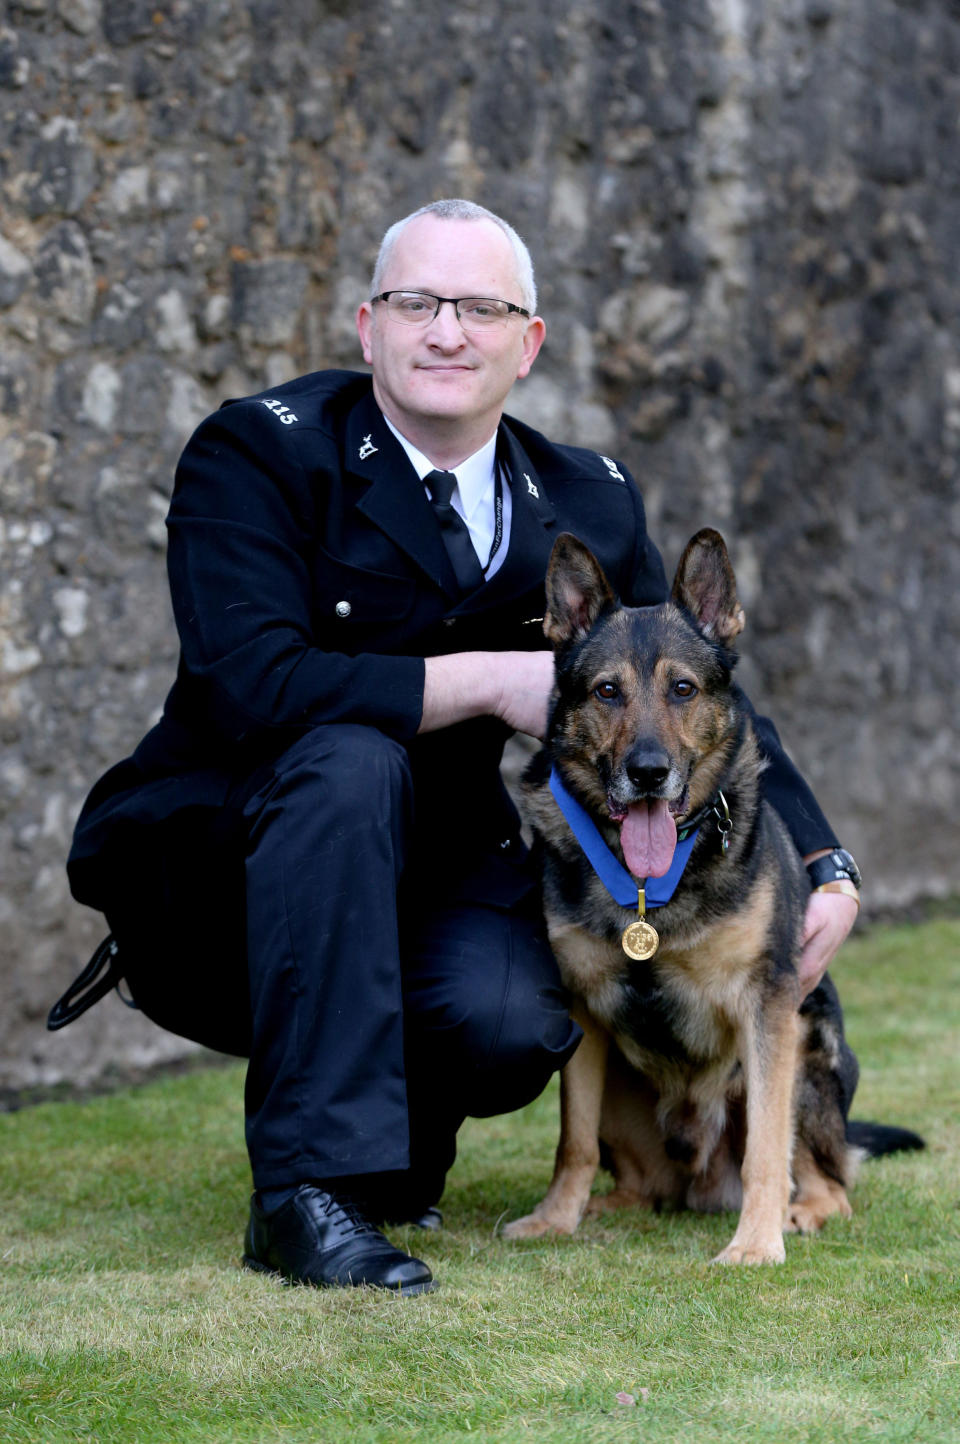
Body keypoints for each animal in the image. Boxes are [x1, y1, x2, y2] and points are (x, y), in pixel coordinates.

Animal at [502, 531, 923, 1264]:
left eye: (683, 689)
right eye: (607, 691)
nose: (648, 773)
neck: (648, 888)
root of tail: (700, 1182)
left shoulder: (769, 1009)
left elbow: (767, 1150)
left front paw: (755, 1246)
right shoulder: (582, 1016)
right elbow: (571, 1141)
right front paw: (556, 1218)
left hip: (809, 1050)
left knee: (827, 1181)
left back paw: (799, 1211)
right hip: (623, 1093)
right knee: (642, 1183)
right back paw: (607, 1209)